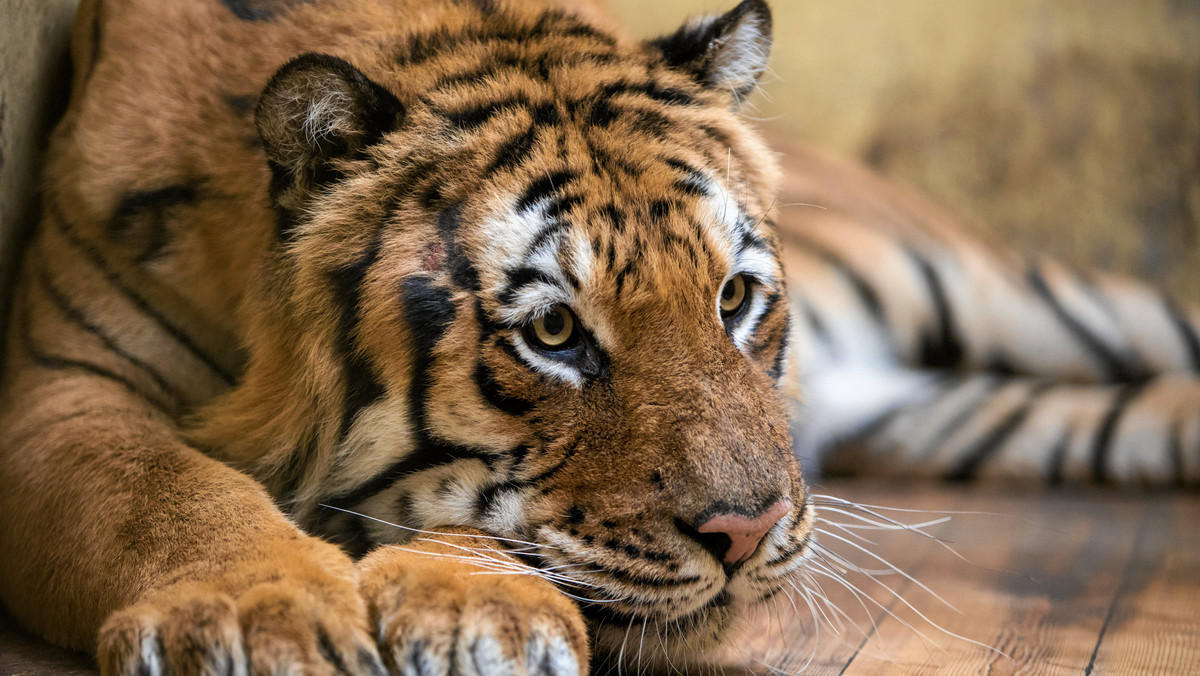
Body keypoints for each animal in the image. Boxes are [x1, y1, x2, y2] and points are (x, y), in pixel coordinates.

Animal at [0, 0, 1195, 672]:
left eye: (733, 297)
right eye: (555, 331)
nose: (751, 533)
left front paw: (481, 610)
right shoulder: (55, 392)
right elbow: (164, 487)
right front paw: (262, 622)